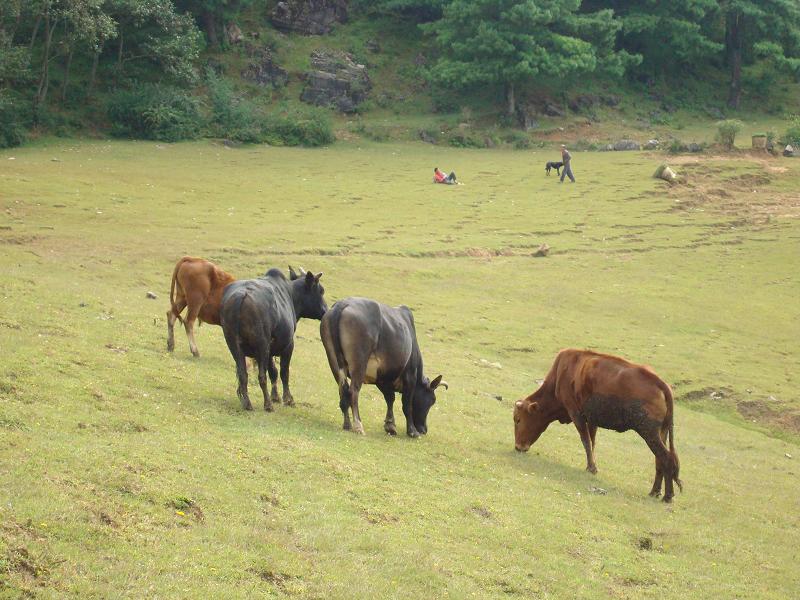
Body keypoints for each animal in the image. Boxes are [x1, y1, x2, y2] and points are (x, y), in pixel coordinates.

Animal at [220, 268, 326, 412]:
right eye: (321, 290)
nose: (326, 310)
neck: (291, 294)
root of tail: (242, 296)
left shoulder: (270, 349)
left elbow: (273, 372)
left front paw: (275, 396)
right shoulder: (288, 345)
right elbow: (284, 372)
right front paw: (288, 399)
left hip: (235, 346)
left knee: (243, 374)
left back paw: (247, 403)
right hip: (261, 345)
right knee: (261, 376)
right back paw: (268, 404)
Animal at [318, 298, 444, 438]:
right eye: (432, 400)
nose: (424, 429)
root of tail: (342, 305)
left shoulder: (382, 377)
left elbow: (390, 398)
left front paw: (390, 425)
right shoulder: (410, 375)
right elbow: (407, 405)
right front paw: (412, 431)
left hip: (334, 361)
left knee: (343, 390)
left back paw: (347, 424)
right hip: (359, 363)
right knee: (353, 391)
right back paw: (358, 425)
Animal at [512, 346, 680, 502]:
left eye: (518, 419)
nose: (518, 447)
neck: (560, 376)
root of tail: (661, 383)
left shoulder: (576, 415)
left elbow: (585, 441)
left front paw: (591, 468)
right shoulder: (592, 420)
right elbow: (592, 443)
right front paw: (592, 467)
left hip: (649, 433)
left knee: (666, 458)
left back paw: (667, 496)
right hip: (660, 433)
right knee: (659, 460)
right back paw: (654, 492)